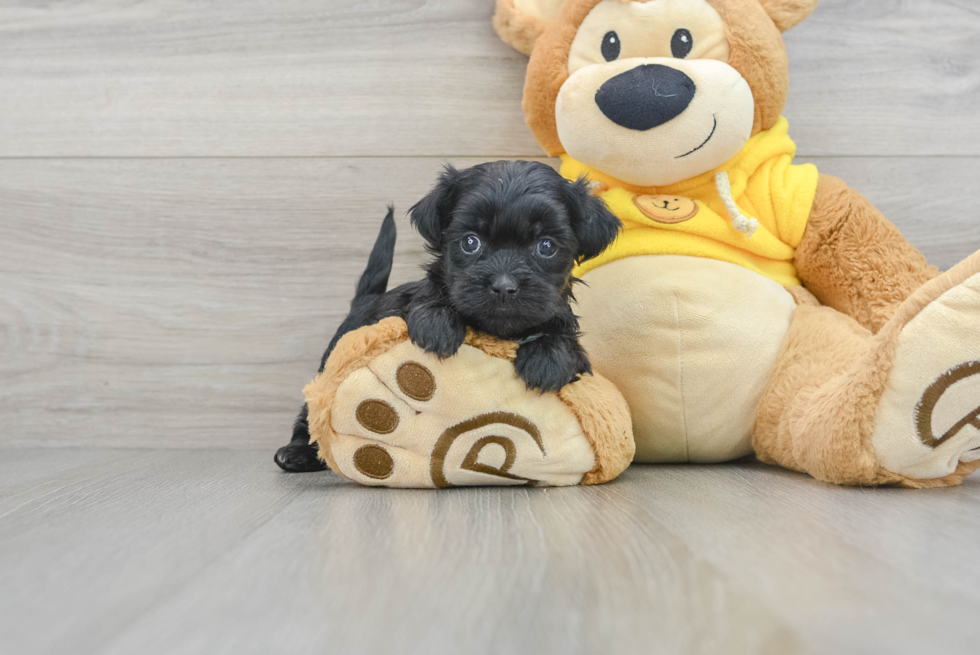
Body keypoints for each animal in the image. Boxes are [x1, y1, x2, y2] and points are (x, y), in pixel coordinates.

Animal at [274, 161, 620, 474]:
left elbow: (566, 341)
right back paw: (297, 452)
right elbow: (429, 299)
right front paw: (438, 324)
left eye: (546, 246)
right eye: (470, 242)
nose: (504, 285)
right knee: (311, 412)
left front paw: (547, 359)